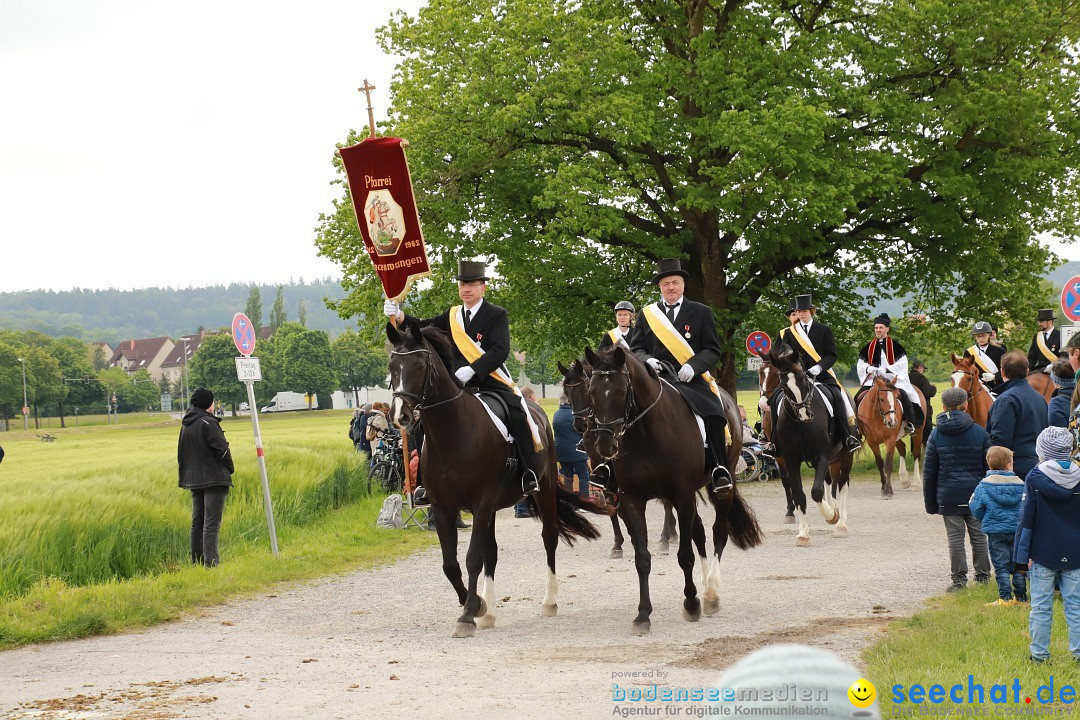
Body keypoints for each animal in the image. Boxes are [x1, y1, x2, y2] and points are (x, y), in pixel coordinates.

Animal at [388, 323, 613, 639]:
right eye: (392, 367)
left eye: (420, 365)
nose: (401, 416)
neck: (451, 434)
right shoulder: (444, 507)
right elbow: (451, 564)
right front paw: (477, 605)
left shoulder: (481, 504)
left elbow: (472, 558)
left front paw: (467, 616)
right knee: (492, 553)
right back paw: (490, 612)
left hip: (542, 491)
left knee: (549, 538)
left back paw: (549, 602)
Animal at [557, 354, 673, 557]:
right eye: (567, 391)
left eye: (586, 390)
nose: (580, 425)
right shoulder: (602, 473)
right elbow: (614, 508)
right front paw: (619, 543)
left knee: (668, 502)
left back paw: (666, 537)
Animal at [587, 345, 764, 634]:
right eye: (591, 391)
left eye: (622, 391)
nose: (604, 445)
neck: (646, 433)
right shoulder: (632, 500)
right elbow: (642, 558)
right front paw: (643, 614)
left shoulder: (681, 495)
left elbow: (685, 555)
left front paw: (691, 603)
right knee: (699, 532)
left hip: (719, 487)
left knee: (718, 532)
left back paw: (711, 593)